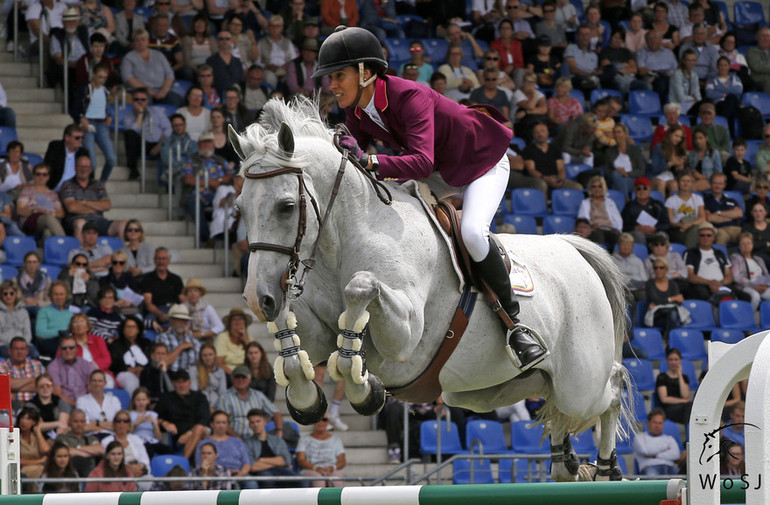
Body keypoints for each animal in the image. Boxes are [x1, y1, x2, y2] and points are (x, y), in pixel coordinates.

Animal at [230, 98, 632, 480]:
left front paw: (365, 388)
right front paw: (305, 395)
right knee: (552, 401)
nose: (257, 298)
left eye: (286, 206)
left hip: (580, 382)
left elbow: (360, 290)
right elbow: (297, 346)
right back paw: (566, 462)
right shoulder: (319, 336)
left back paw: (608, 467)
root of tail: (571, 247)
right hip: (488, 392)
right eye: (239, 209)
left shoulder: (406, 336)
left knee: (611, 388)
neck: (347, 236)